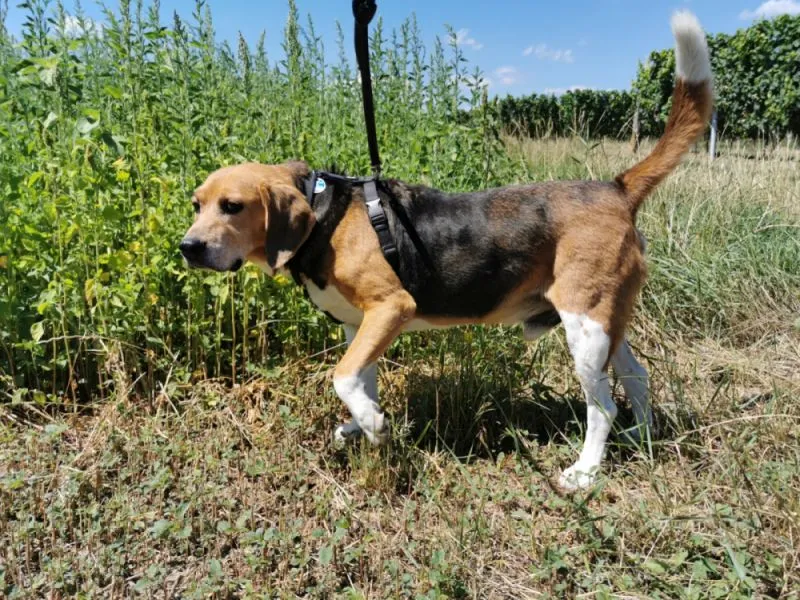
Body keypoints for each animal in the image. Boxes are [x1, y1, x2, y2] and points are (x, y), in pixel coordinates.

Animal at [183, 12, 712, 492]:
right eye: (196, 204)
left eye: (232, 206)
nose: (188, 247)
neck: (322, 213)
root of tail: (616, 189)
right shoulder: (362, 324)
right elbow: (360, 377)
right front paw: (362, 420)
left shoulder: (392, 307)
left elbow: (342, 375)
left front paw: (373, 425)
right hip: (605, 321)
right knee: (637, 378)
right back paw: (640, 437)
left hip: (585, 329)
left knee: (602, 406)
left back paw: (584, 472)